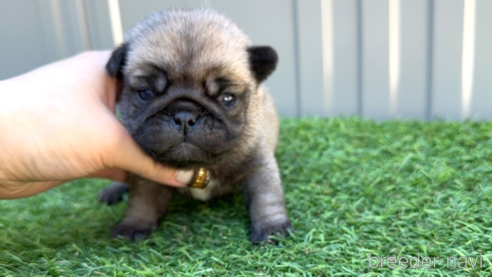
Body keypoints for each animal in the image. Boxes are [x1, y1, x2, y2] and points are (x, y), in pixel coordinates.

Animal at [99, 8, 292, 242]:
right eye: (145, 93)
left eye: (227, 98)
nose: (184, 116)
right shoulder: (145, 177)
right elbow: (142, 200)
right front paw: (133, 224)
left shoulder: (258, 163)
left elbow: (266, 197)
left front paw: (272, 227)